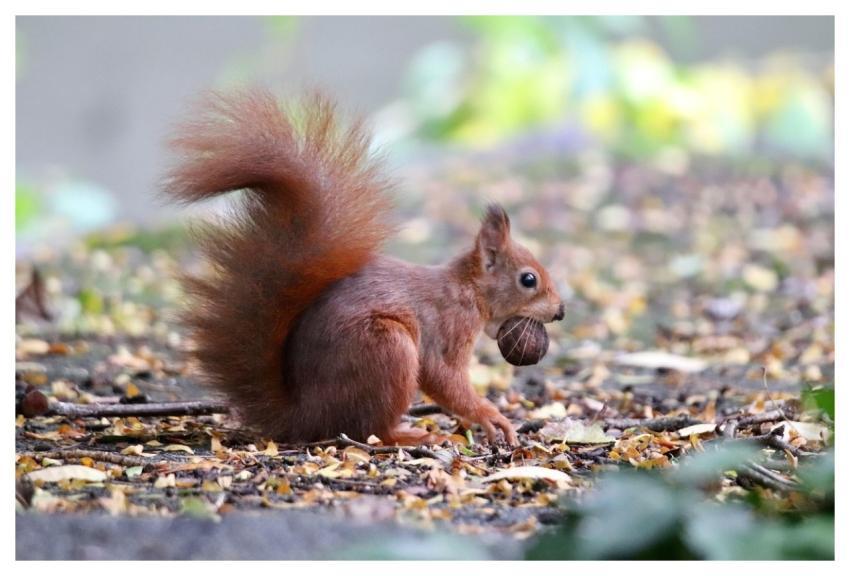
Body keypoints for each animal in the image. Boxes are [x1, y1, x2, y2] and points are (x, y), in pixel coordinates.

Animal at [164, 89, 564, 446]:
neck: (468, 289)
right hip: (386, 350)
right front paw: (490, 417)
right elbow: (443, 377)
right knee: (370, 429)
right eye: (528, 279)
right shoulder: (447, 328)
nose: (560, 312)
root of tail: (303, 416)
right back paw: (412, 435)